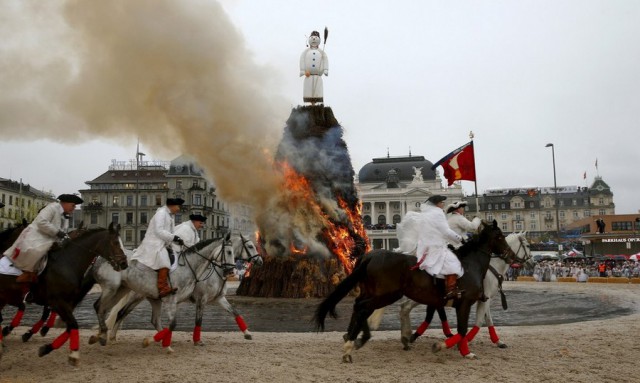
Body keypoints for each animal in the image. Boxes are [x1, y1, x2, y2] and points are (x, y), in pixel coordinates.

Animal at [0, 224, 127, 368]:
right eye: (115, 242)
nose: (124, 263)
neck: (68, 263)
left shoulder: (65, 303)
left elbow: (69, 326)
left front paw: (46, 347)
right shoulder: (57, 302)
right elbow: (72, 324)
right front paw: (74, 354)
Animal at [312, 222, 516, 364]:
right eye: (500, 236)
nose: (512, 256)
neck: (470, 265)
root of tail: (370, 255)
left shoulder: (450, 303)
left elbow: (461, 328)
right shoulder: (464, 303)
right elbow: (462, 330)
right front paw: (454, 349)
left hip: (373, 293)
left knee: (360, 307)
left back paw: (354, 339)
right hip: (386, 295)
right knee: (362, 308)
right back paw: (353, 343)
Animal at [398, 232, 532, 350]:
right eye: (528, 245)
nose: (532, 262)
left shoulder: (484, 298)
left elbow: (488, 319)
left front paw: (498, 341)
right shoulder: (484, 298)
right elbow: (479, 321)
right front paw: (463, 341)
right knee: (406, 307)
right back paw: (408, 336)